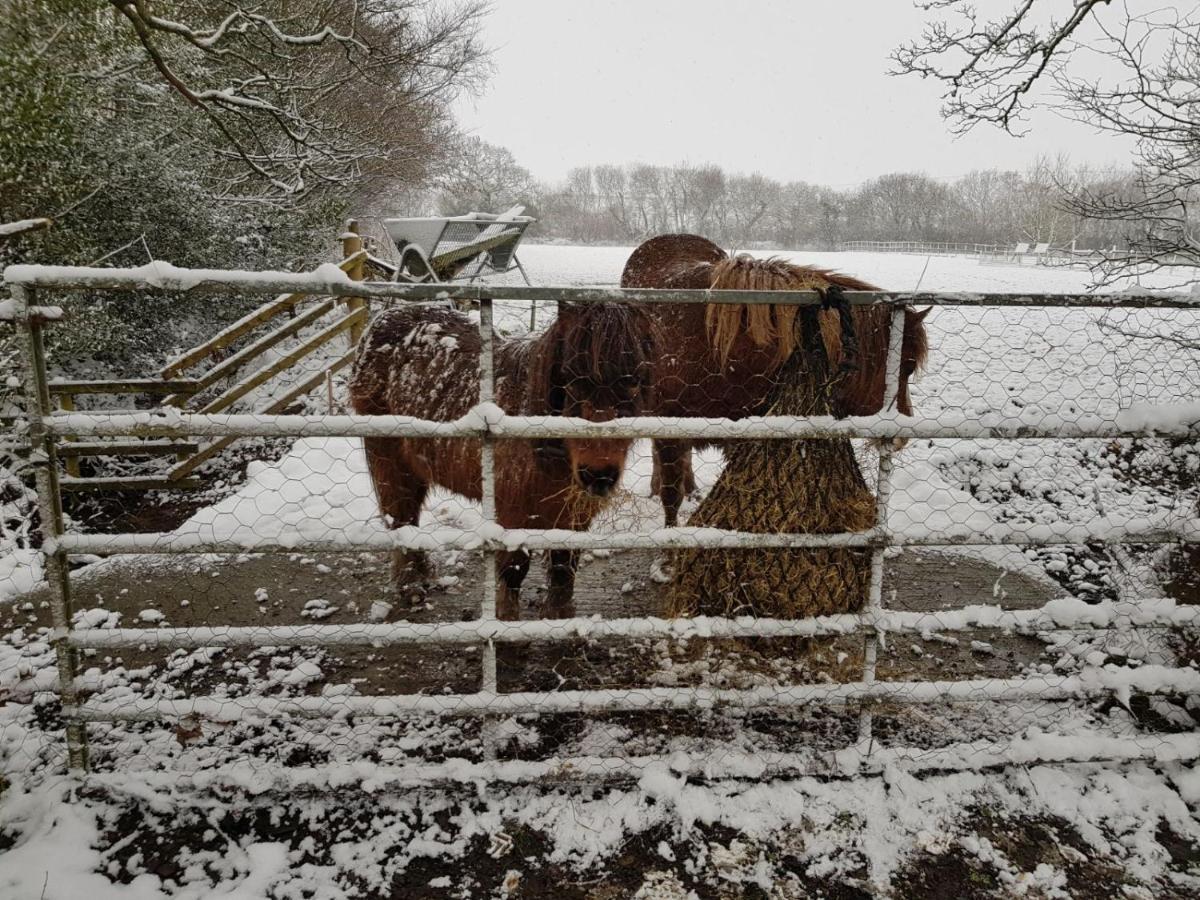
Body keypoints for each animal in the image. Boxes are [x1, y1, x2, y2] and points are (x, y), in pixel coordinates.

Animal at [348, 303, 657, 619]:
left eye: (636, 381)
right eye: (569, 377)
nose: (598, 475)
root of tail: (383, 319)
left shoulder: (574, 514)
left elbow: (564, 565)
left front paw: (558, 616)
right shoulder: (512, 513)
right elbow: (514, 571)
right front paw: (506, 621)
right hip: (391, 464)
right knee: (401, 517)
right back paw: (411, 585)